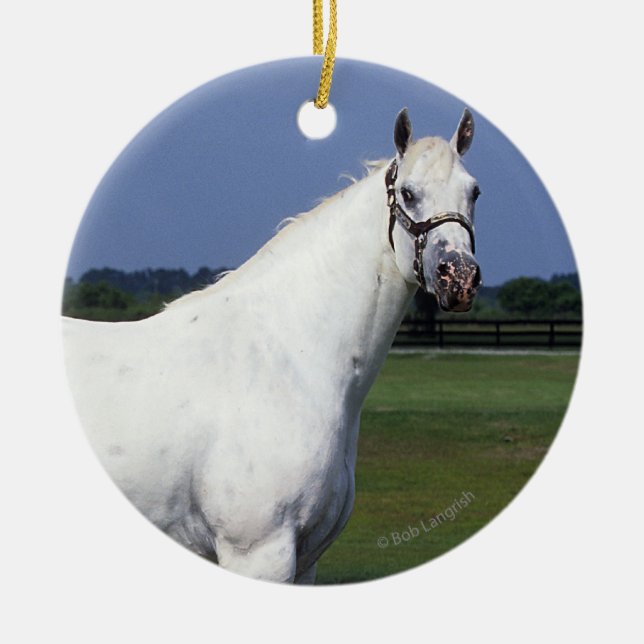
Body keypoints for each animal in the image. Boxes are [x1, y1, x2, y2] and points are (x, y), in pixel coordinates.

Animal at [63, 108, 482, 584]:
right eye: (409, 194)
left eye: (474, 192)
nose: (459, 277)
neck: (286, 357)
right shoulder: (260, 554)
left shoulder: (306, 562)